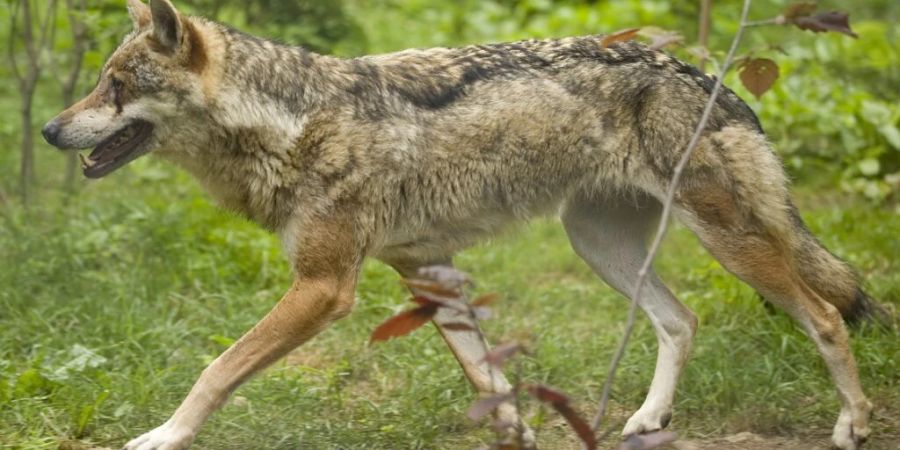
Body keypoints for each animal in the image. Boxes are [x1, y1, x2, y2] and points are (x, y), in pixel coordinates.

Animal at [40, 0, 880, 450]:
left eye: (116, 86)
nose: (50, 129)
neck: (289, 126)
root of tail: (715, 84)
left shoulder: (323, 289)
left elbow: (215, 369)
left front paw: (163, 437)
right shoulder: (428, 271)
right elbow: (491, 383)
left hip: (725, 242)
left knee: (826, 315)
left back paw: (854, 423)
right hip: (600, 247)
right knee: (683, 321)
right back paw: (647, 417)